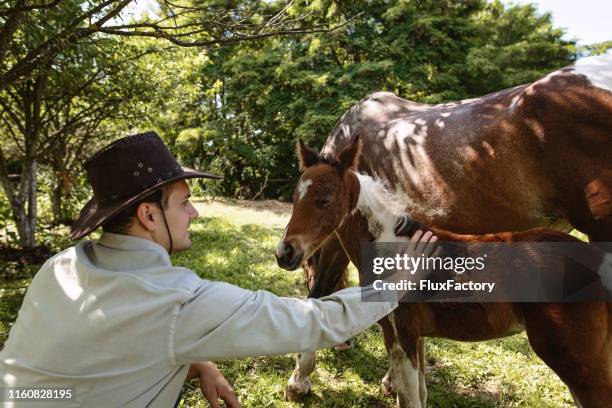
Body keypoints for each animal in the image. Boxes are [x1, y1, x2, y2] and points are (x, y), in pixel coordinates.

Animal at [284, 53, 608, 402]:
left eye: (324, 200)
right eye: (294, 196)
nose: (284, 252)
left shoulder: (339, 250)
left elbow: (319, 292)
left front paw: (299, 380)